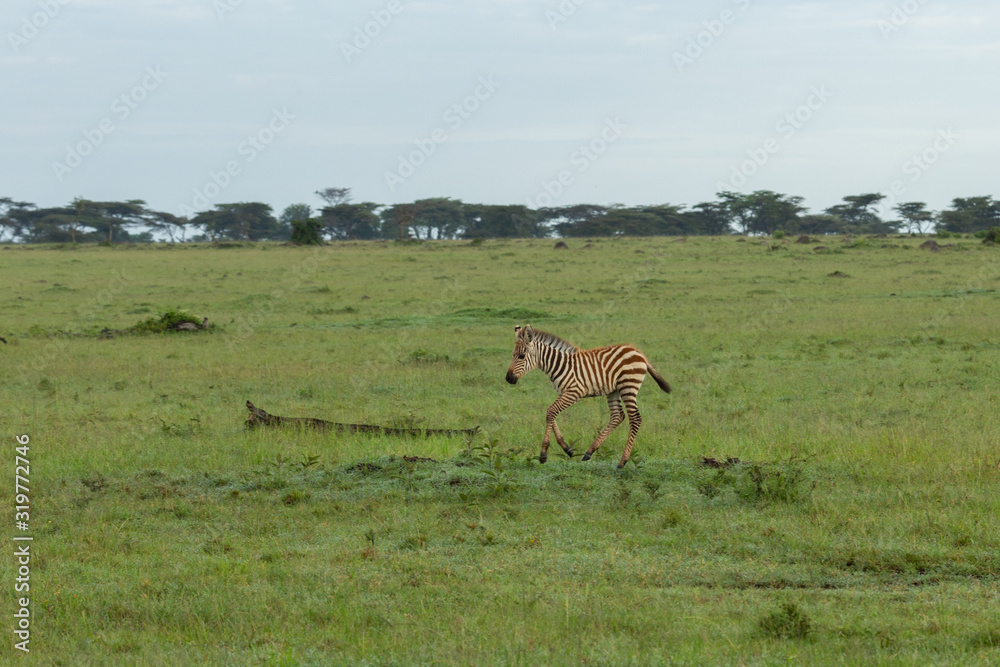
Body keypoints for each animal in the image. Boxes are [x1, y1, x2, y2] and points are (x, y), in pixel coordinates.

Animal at [505, 324, 671, 469]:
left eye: (522, 356)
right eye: (512, 355)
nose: (508, 378)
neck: (559, 365)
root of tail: (638, 352)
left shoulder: (574, 392)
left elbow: (551, 412)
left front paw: (544, 453)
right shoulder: (563, 392)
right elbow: (550, 413)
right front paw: (567, 448)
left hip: (628, 385)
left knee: (635, 418)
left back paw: (622, 461)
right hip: (614, 390)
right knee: (617, 416)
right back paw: (590, 451)